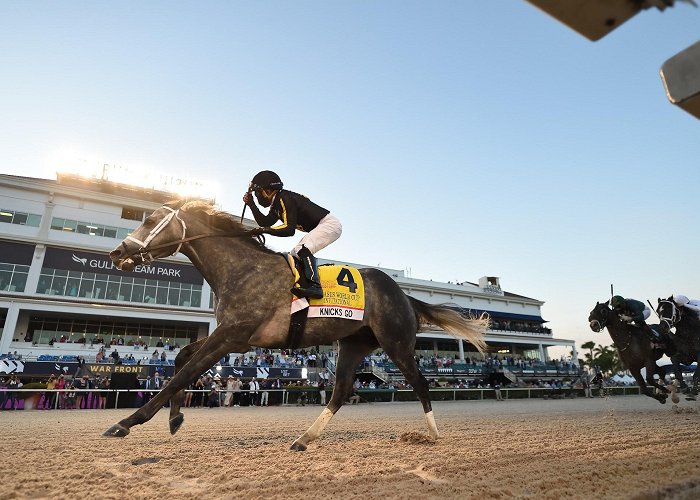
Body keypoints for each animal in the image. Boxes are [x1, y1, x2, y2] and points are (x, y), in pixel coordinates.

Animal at [104, 199, 490, 450]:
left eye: (150, 220)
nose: (116, 253)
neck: (241, 269)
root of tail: (405, 295)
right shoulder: (234, 337)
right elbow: (183, 358)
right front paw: (174, 419)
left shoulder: (231, 336)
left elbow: (182, 374)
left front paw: (125, 423)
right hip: (353, 344)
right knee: (341, 390)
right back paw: (304, 439)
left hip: (396, 344)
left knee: (420, 384)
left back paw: (433, 435)